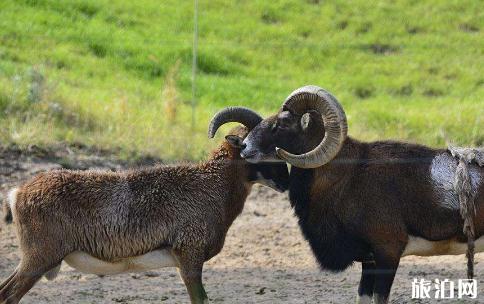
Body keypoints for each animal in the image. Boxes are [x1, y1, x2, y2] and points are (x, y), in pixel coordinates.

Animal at [0, 124, 288, 304]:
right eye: (256, 147)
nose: (285, 181)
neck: (210, 186)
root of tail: (17, 193)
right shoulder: (190, 259)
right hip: (37, 261)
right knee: (9, 296)